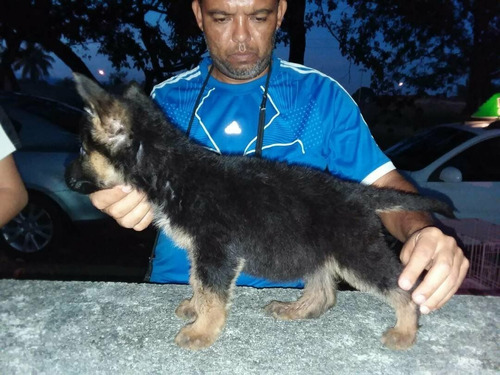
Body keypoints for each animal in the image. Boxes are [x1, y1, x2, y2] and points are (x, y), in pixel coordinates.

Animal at [65, 74, 454, 352]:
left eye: (83, 149)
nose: (66, 179)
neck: (170, 168)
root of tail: (357, 192)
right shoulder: (204, 253)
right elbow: (199, 284)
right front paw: (195, 308)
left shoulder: (216, 252)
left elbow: (212, 292)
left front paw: (202, 331)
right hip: (316, 250)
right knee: (324, 293)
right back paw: (294, 309)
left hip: (356, 254)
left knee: (403, 289)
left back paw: (405, 331)